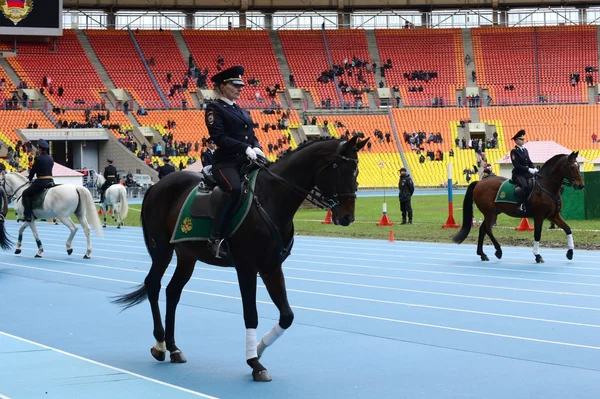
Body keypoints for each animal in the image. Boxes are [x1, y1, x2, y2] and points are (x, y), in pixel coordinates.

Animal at [110, 138, 368, 384]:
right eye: (339, 169)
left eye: (356, 171)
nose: (347, 217)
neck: (271, 198)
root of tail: (156, 186)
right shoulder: (246, 267)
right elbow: (250, 314)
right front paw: (255, 363)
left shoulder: (272, 267)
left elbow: (287, 316)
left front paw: (260, 348)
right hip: (162, 249)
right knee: (153, 285)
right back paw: (160, 344)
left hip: (187, 256)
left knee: (173, 291)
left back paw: (174, 348)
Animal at [452, 152, 584, 264]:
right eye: (571, 167)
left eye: (578, 166)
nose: (580, 185)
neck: (546, 186)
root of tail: (479, 182)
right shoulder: (539, 216)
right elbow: (537, 234)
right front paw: (537, 255)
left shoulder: (553, 215)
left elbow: (568, 229)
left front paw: (570, 253)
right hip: (490, 213)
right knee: (487, 229)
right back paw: (498, 251)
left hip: (493, 213)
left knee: (483, 229)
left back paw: (482, 254)